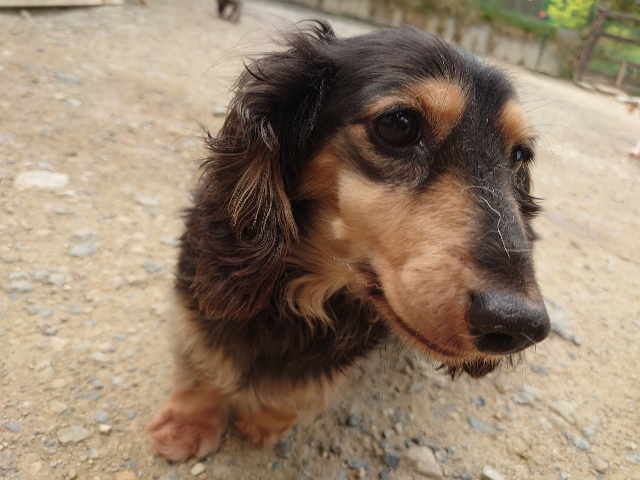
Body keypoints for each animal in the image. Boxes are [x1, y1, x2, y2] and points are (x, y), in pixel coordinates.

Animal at [148, 21, 551, 461]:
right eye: (398, 124)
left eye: (519, 156)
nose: (519, 325)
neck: (308, 290)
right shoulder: (199, 294)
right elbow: (201, 360)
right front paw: (189, 424)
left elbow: (300, 393)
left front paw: (264, 422)